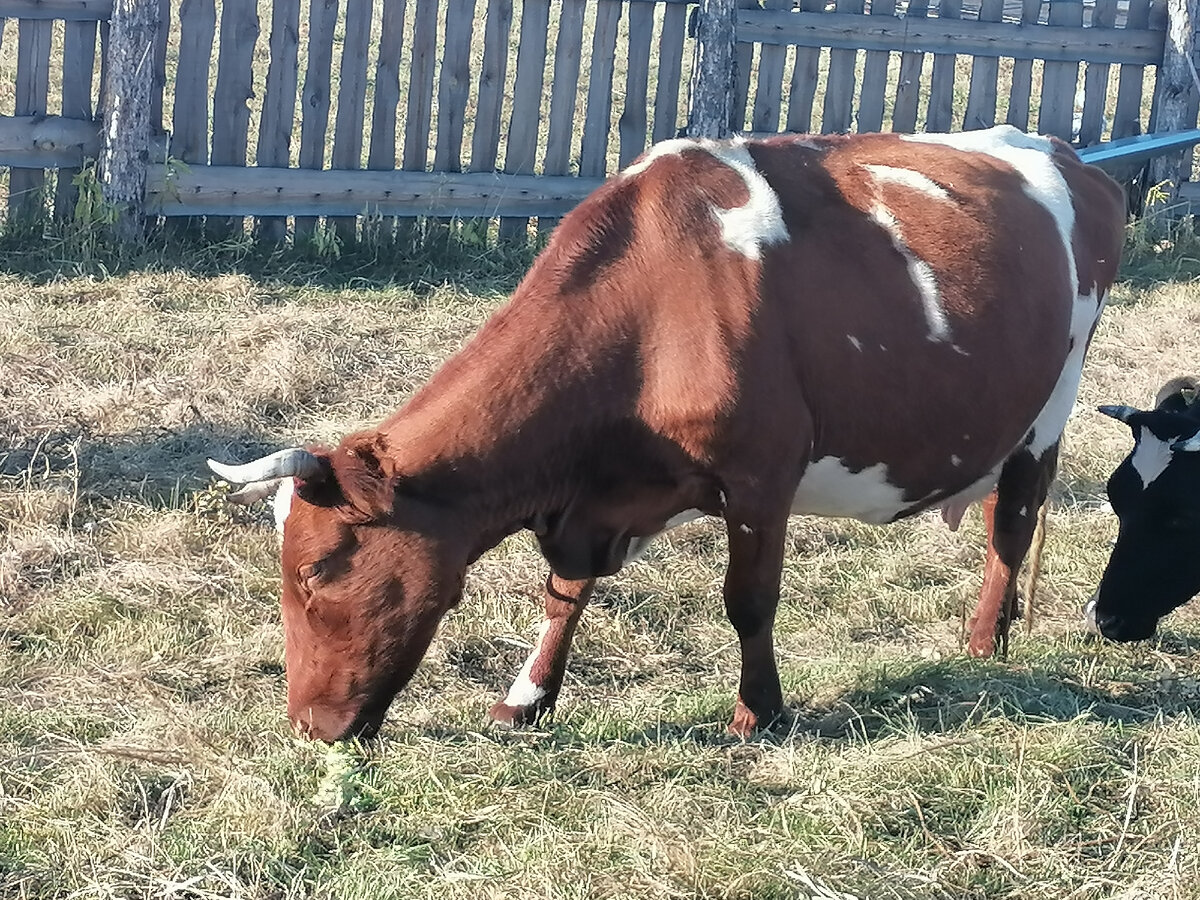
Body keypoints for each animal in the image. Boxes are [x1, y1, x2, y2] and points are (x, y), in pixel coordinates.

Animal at [208, 128, 1123, 748]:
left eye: (315, 570)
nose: (306, 727)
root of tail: (1071, 158)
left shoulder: (761, 476)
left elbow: (748, 600)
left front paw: (758, 713)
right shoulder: (595, 503)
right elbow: (564, 592)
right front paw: (526, 699)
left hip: (1050, 407)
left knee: (1014, 521)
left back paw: (985, 640)